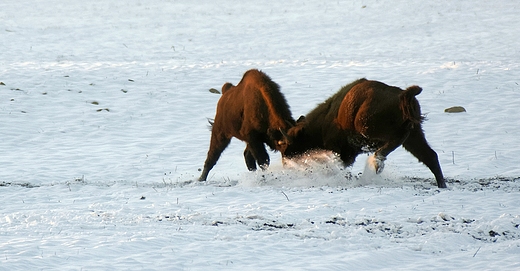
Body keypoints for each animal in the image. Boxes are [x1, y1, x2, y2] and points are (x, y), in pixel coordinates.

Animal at [280, 78, 446, 189]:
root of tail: (403, 95)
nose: (285, 165)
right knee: (429, 156)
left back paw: (376, 163)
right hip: (414, 135)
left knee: (394, 143)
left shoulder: (341, 151)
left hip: (371, 130)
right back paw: (441, 185)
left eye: (290, 146)